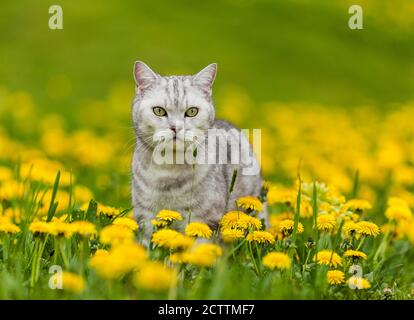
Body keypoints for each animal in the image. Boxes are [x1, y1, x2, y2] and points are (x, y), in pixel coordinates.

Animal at [130, 61, 266, 241]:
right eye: (159, 111)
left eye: (192, 111)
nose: (176, 127)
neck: (168, 169)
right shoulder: (146, 218)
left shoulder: (204, 220)